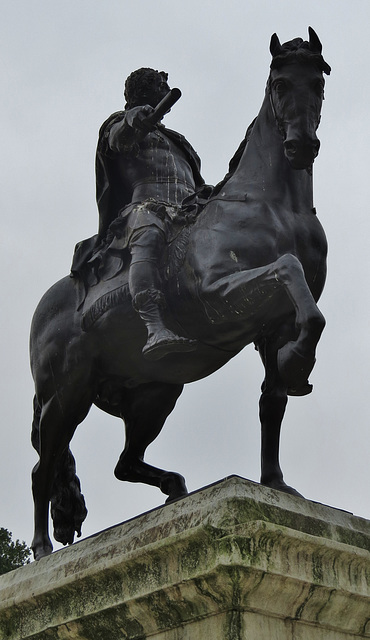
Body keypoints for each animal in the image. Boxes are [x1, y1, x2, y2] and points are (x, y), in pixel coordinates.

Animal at [30, 28, 330, 560]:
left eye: (318, 82)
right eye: (279, 83)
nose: (301, 145)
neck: (274, 206)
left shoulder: (275, 325)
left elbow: (277, 393)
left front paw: (276, 481)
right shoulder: (220, 295)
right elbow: (287, 269)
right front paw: (299, 364)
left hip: (154, 392)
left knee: (124, 462)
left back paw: (174, 486)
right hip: (64, 397)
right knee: (43, 468)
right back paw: (43, 550)